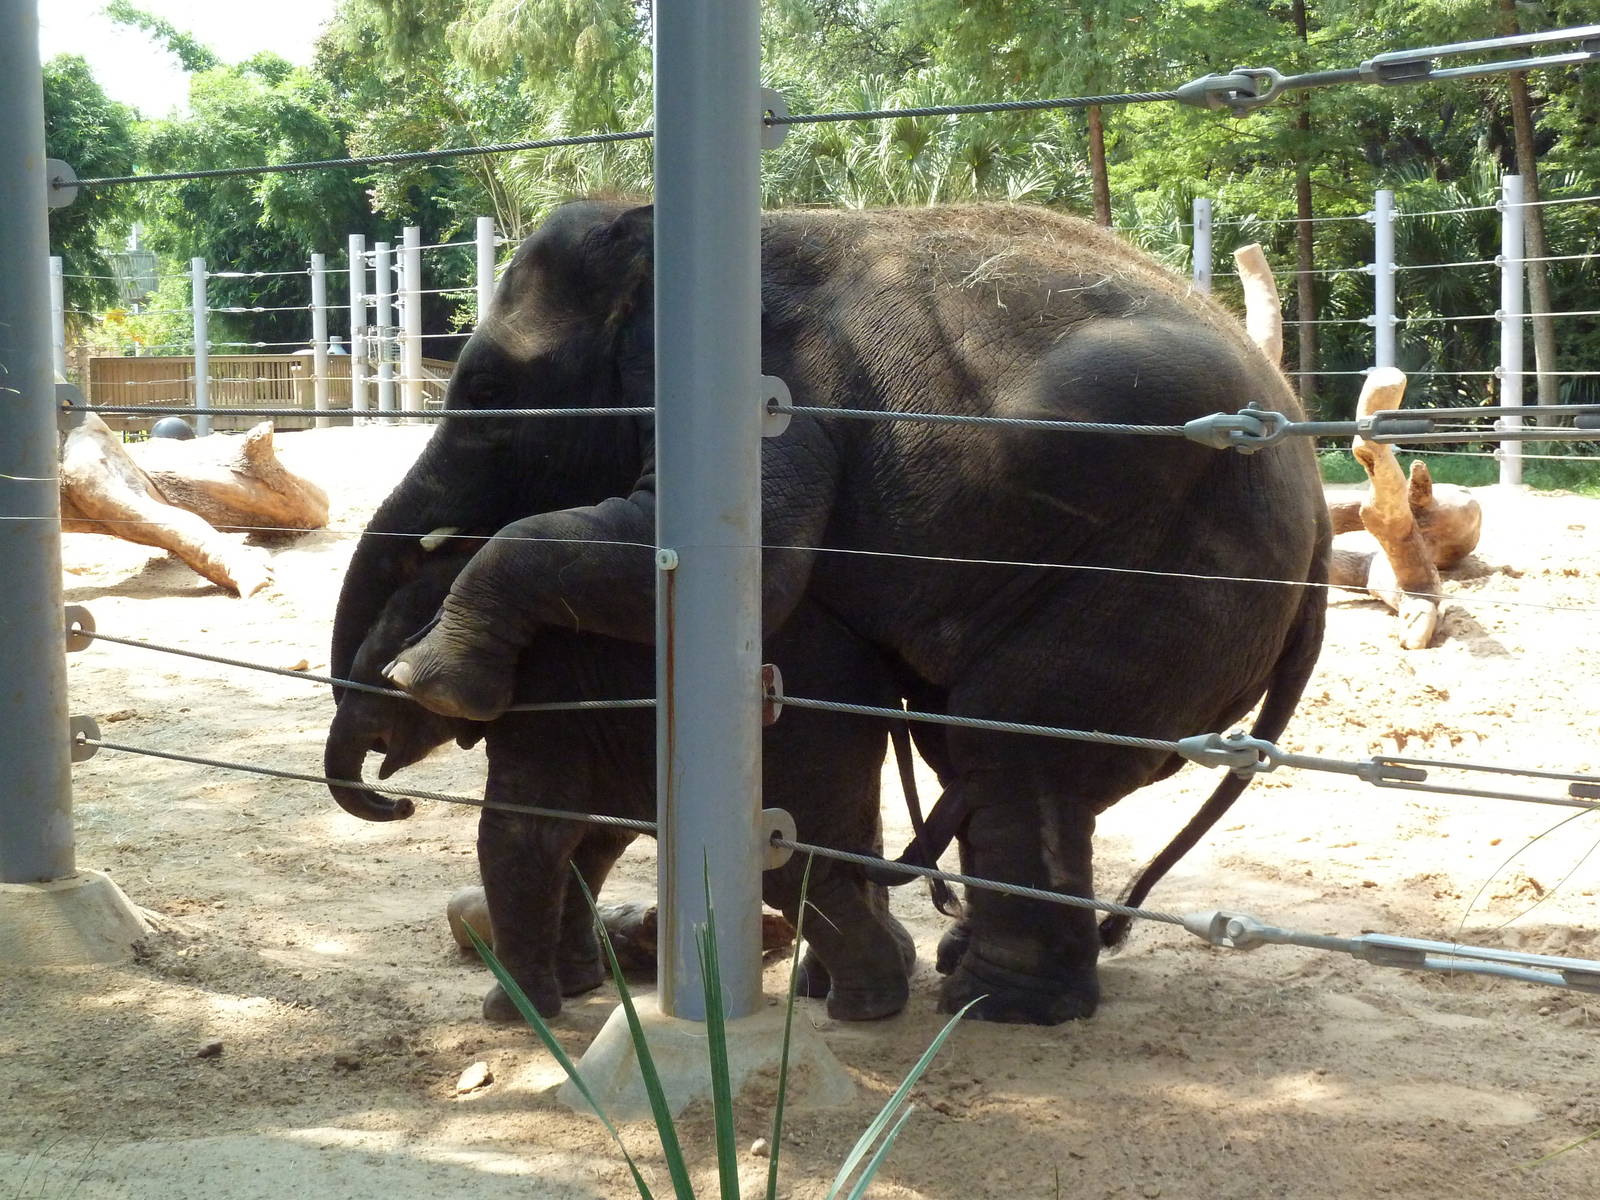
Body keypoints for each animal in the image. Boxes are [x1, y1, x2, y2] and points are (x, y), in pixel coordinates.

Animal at [326, 543, 919, 1022]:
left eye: (382, 675)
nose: (401, 806)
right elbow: (591, 833)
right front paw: (576, 984)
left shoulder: (548, 702)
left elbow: (526, 832)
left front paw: (509, 1014)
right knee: (849, 846)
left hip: (806, 741)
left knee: (791, 864)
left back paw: (864, 1007)